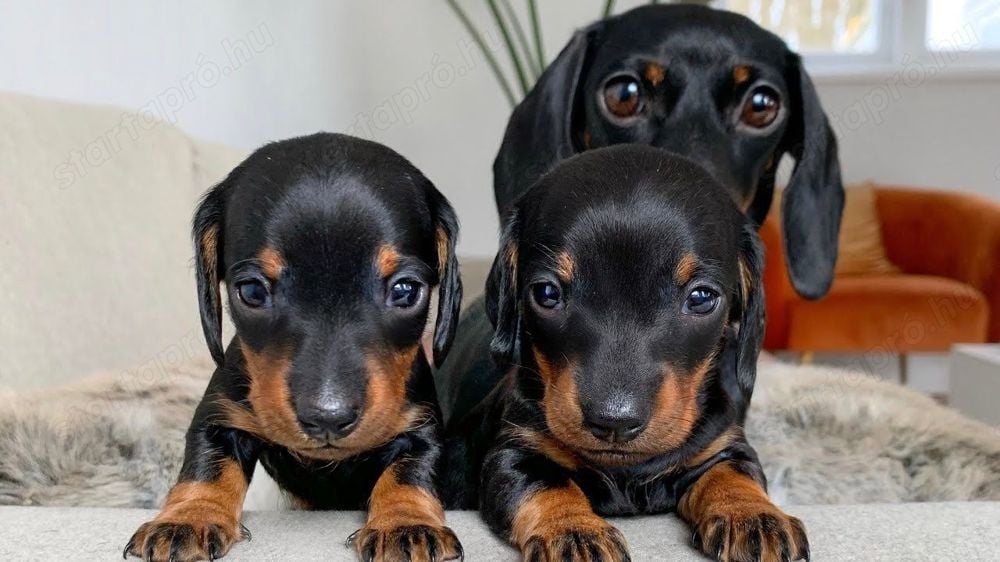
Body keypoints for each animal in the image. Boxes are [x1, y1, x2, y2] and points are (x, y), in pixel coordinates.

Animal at [125, 132, 464, 560]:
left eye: (405, 290)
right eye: (252, 291)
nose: (328, 418)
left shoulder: (419, 425)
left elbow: (410, 472)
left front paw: (406, 524)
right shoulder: (219, 416)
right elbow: (206, 466)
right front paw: (188, 517)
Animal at [442, 145, 808, 560]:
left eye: (701, 297)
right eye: (547, 293)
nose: (614, 422)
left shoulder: (721, 443)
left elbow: (734, 471)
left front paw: (754, 516)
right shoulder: (515, 449)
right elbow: (545, 484)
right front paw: (574, 531)